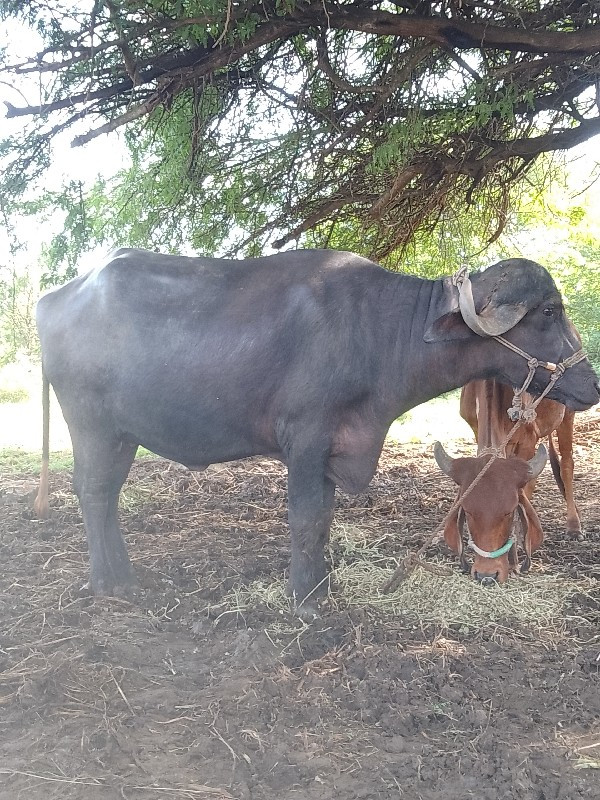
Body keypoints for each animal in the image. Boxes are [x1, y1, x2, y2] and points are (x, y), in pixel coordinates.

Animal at [460, 380, 580, 536]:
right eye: (469, 512)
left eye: (506, 513)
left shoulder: (528, 439)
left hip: (568, 414)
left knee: (566, 465)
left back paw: (574, 525)